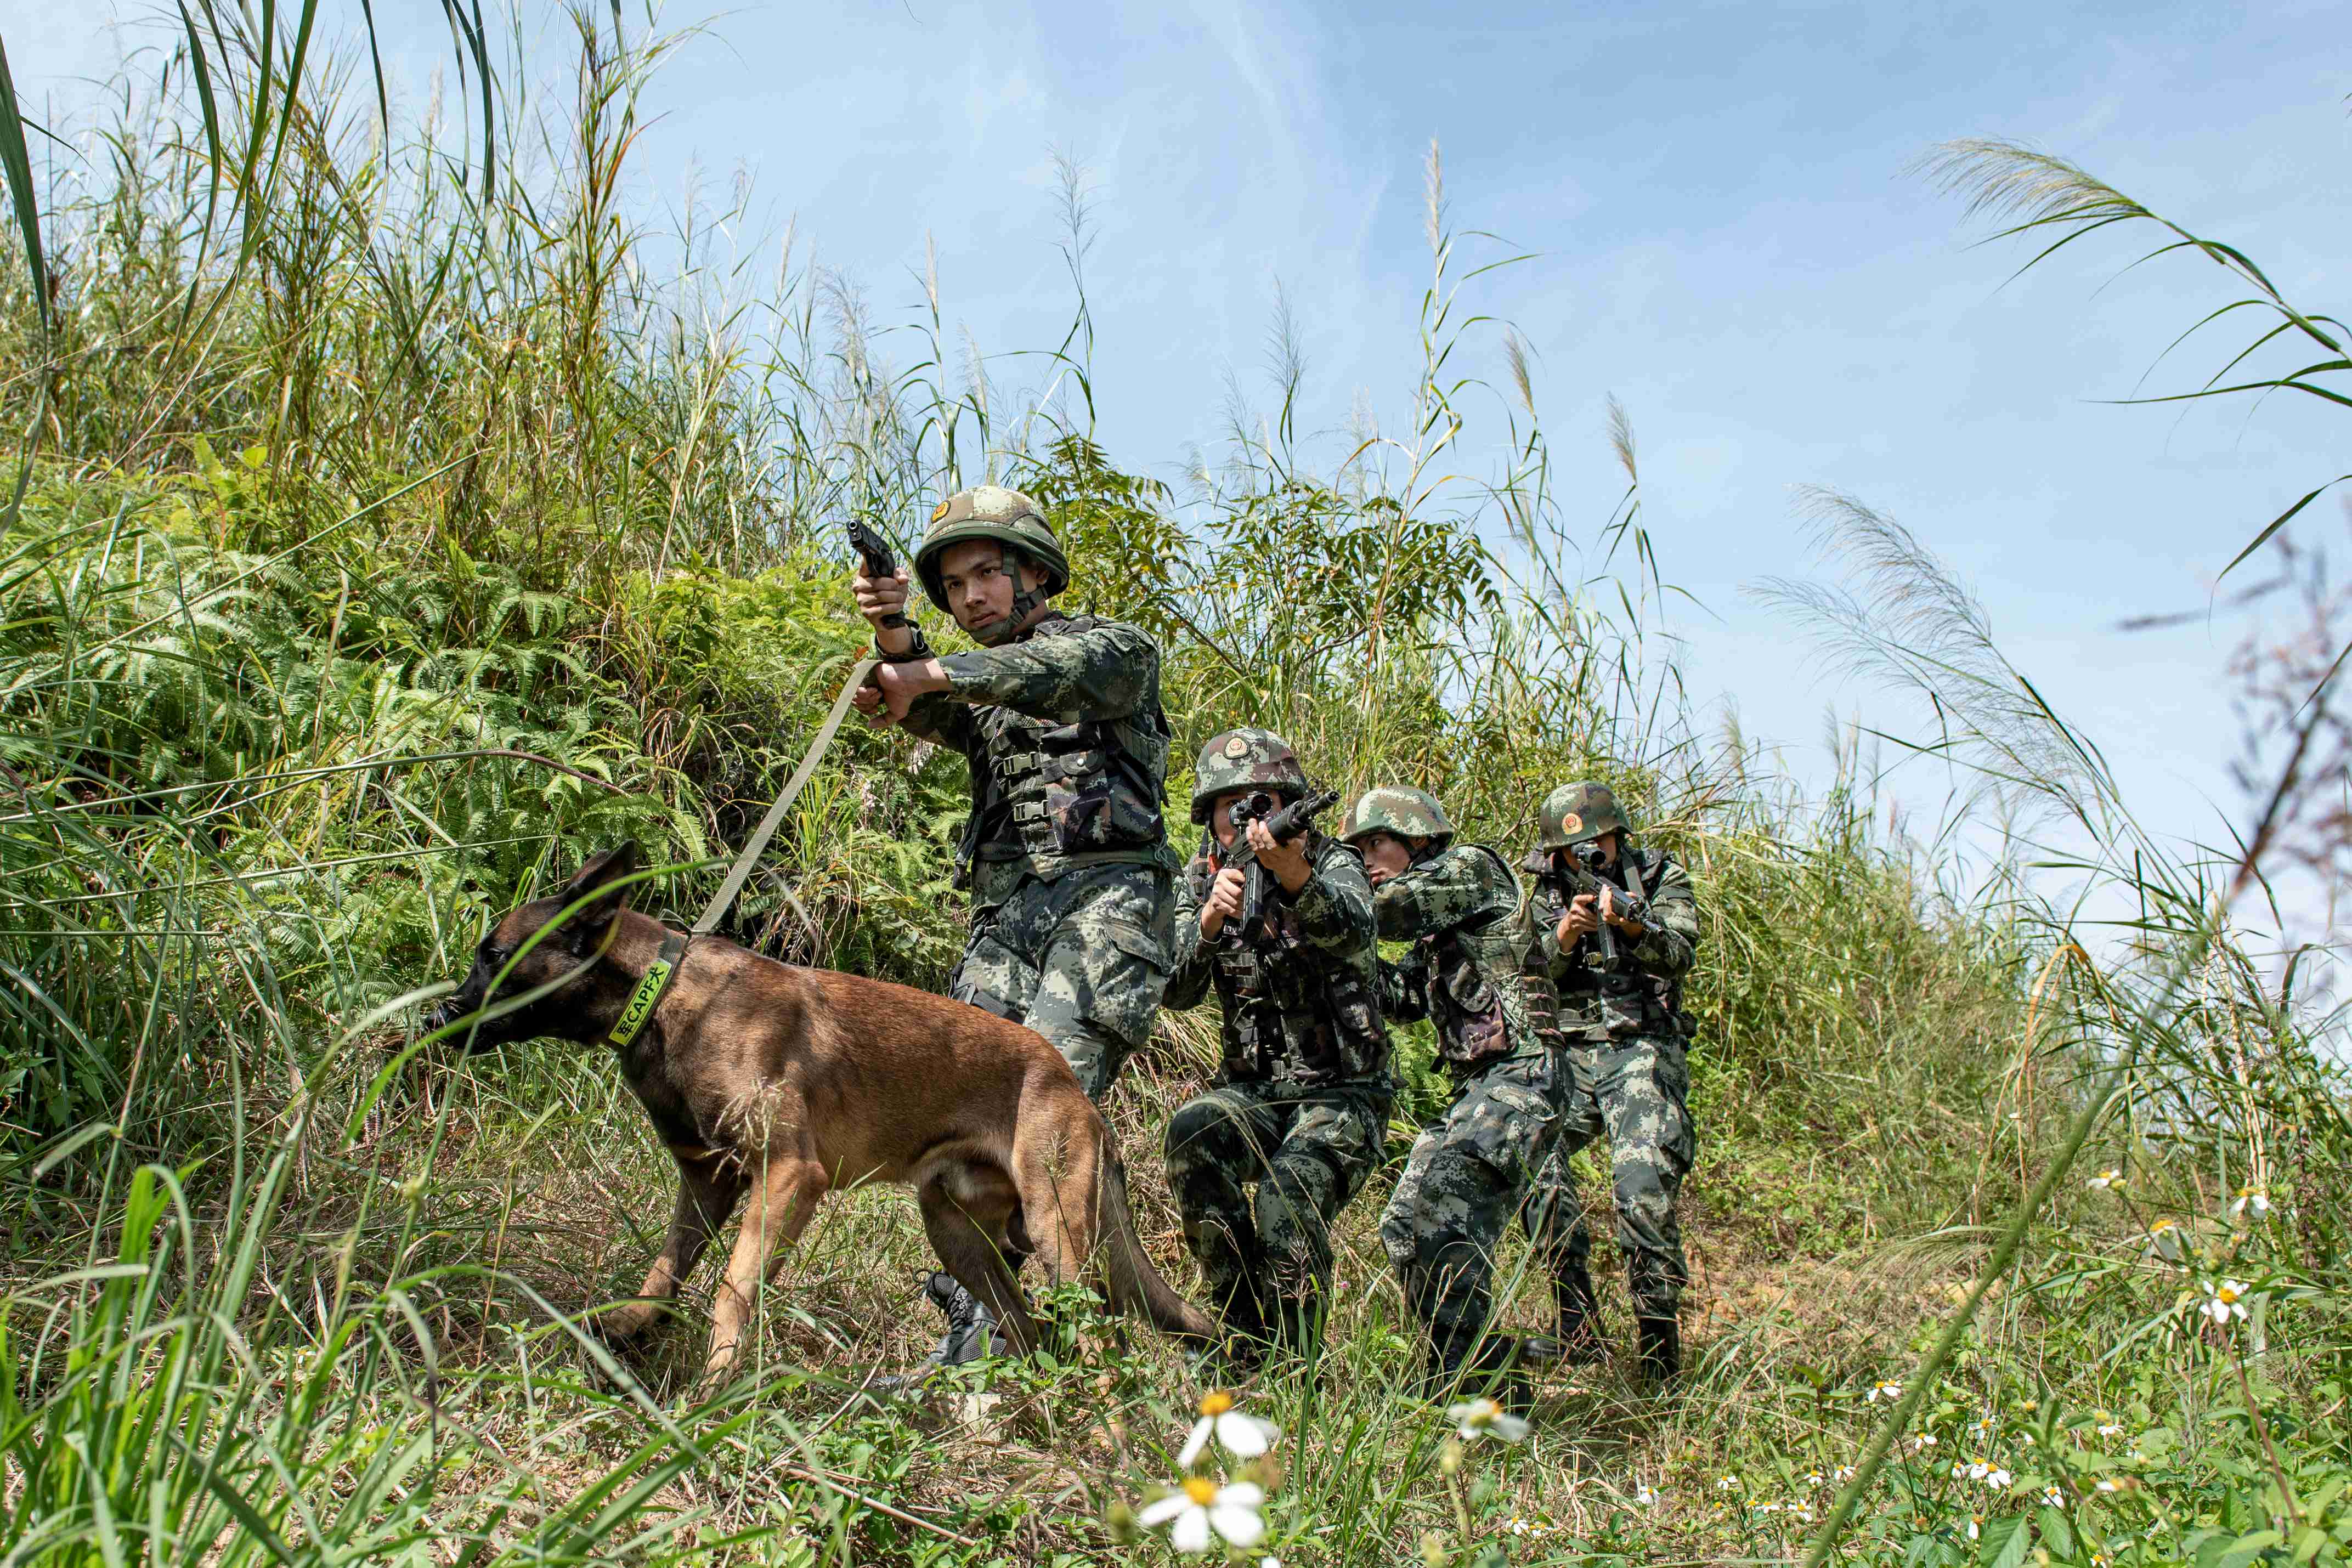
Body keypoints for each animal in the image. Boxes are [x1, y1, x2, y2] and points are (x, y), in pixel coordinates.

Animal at [426, 846, 1223, 1373]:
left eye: (492, 955)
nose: (437, 1015)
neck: (664, 993)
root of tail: (1074, 1087)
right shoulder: (707, 1184)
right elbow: (665, 1269)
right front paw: (630, 1327)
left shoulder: (788, 1177)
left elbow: (731, 1289)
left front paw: (715, 1390)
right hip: (957, 1237)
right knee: (1030, 1333)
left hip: (1058, 1234)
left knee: (1095, 1334)